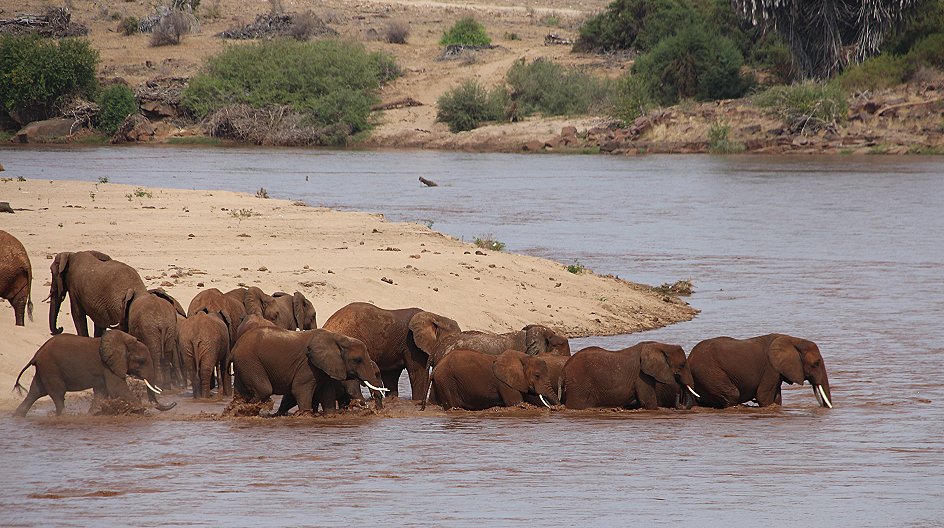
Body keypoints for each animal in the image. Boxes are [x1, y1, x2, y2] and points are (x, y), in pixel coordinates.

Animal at [13, 330, 177, 416]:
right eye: (141, 360)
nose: (175, 403)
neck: (123, 339)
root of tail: (36, 354)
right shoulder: (108, 366)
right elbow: (117, 389)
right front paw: (138, 410)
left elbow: (102, 392)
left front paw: (94, 414)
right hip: (51, 368)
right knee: (57, 394)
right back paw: (65, 417)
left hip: (45, 370)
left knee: (35, 392)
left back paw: (18, 416)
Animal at [232, 326, 388, 416]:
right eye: (358, 360)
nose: (376, 408)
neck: (339, 338)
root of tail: (236, 346)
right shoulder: (308, 364)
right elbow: (300, 389)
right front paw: (306, 415)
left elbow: (326, 393)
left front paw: (330, 416)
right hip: (250, 361)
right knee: (264, 390)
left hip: (243, 365)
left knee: (242, 392)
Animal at [560, 340, 700, 410]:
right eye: (682, 365)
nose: (678, 396)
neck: (660, 346)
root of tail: (565, 368)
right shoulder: (641, 375)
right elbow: (648, 402)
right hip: (579, 384)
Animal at [684, 334, 832, 408]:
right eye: (816, 363)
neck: (793, 340)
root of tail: (689, 357)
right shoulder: (771, 368)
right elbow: (763, 396)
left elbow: (776, 398)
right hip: (707, 372)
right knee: (733, 394)